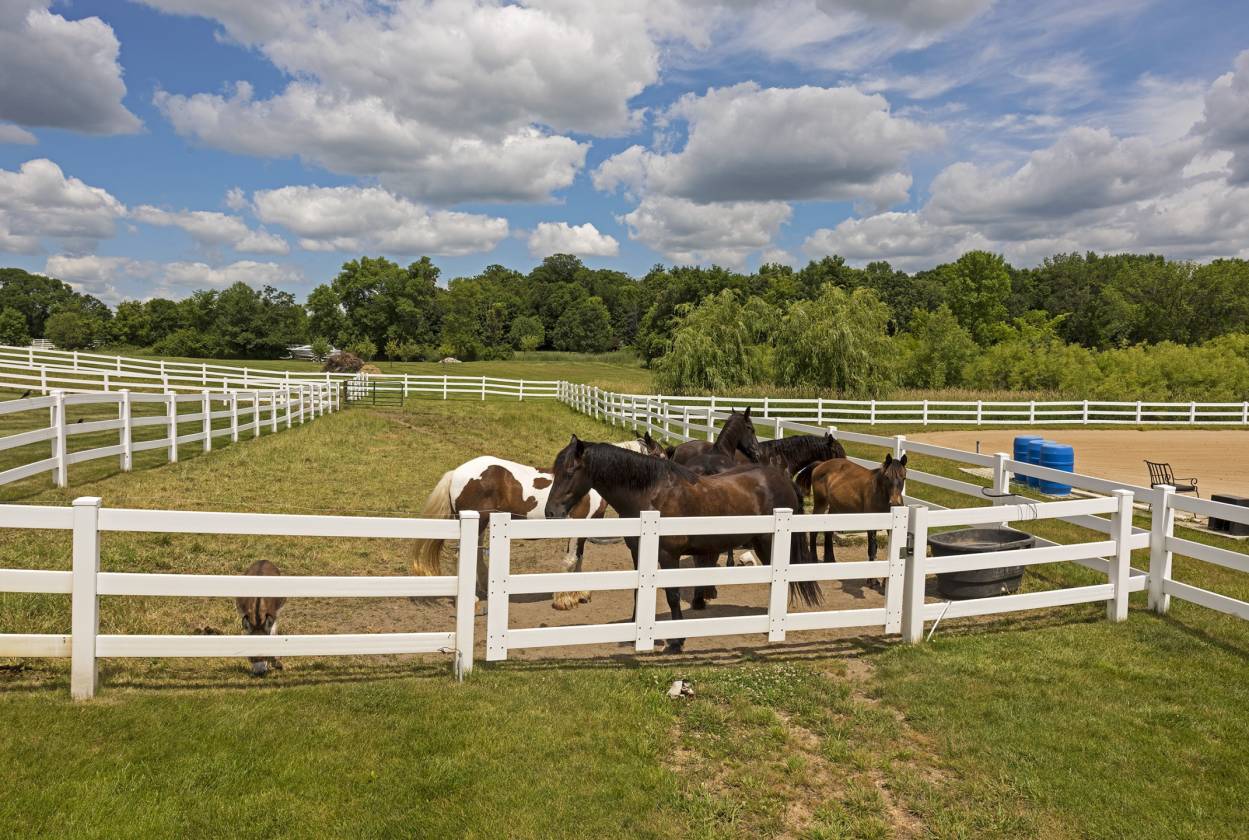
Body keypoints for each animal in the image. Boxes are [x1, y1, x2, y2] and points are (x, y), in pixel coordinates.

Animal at [411, 456, 608, 610]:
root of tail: (456, 473)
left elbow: (579, 559)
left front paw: (580, 594)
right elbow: (571, 560)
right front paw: (564, 599)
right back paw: (471, 600)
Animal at [545, 436, 821, 654]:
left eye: (570, 471)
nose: (551, 512)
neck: (652, 495)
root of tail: (782, 479)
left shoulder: (668, 556)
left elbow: (673, 595)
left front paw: (676, 640)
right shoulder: (638, 552)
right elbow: (637, 592)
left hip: (768, 543)